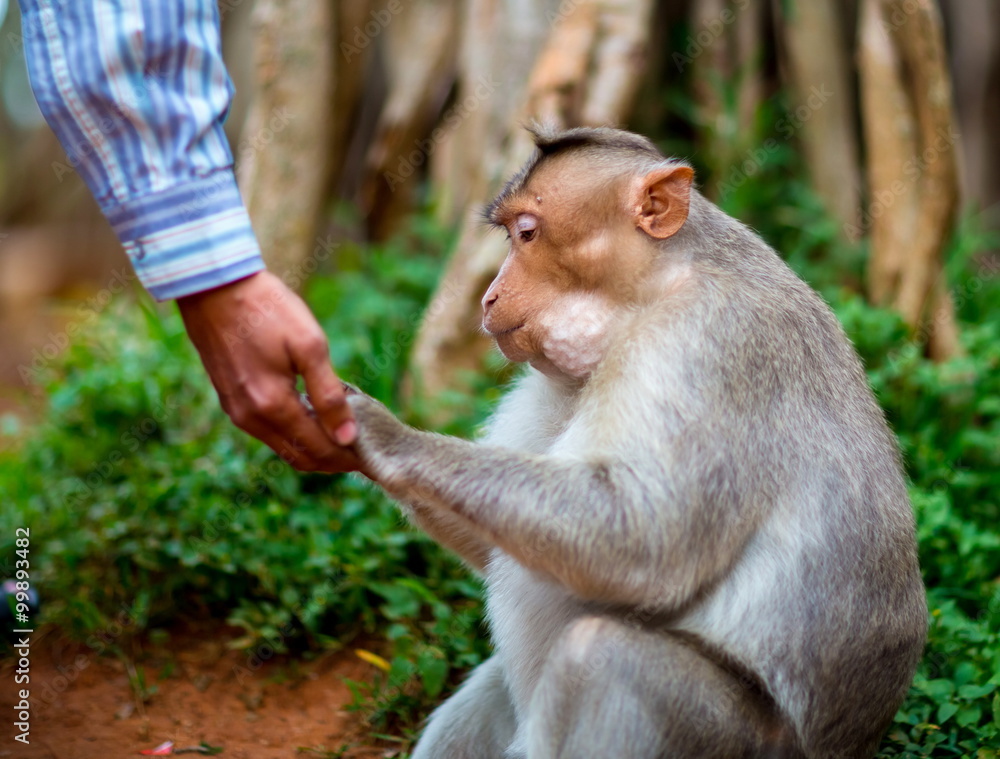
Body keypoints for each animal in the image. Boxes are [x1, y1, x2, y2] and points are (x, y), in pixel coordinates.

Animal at [345, 125, 927, 759]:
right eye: (511, 235)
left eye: (527, 234)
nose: (489, 297)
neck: (649, 296)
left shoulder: (701, 347)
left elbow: (642, 539)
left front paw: (383, 436)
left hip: (747, 742)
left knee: (602, 657)